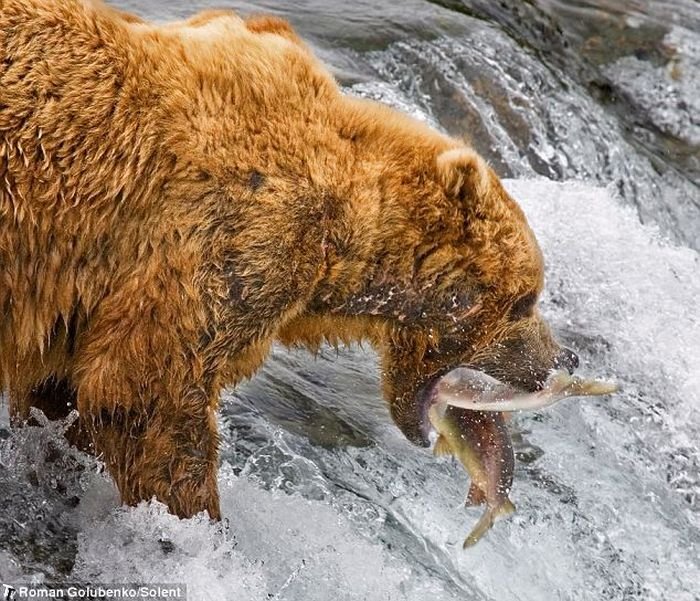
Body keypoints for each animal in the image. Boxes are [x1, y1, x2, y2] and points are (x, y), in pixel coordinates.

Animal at [0, 0, 576, 516]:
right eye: (525, 299)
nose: (560, 360)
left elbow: (68, 388)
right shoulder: (226, 237)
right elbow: (147, 394)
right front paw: (197, 522)